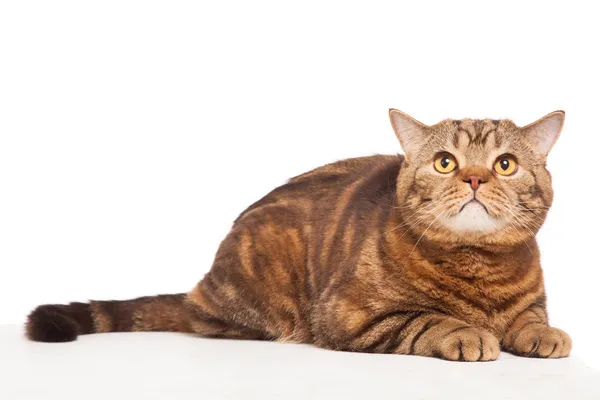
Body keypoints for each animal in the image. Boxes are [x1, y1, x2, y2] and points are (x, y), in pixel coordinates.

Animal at [23, 109, 568, 362]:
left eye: (505, 164)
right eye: (445, 162)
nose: (474, 178)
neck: (479, 269)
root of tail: (202, 286)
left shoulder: (532, 301)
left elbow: (531, 318)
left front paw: (543, 334)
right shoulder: (349, 315)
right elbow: (427, 318)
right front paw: (466, 332)